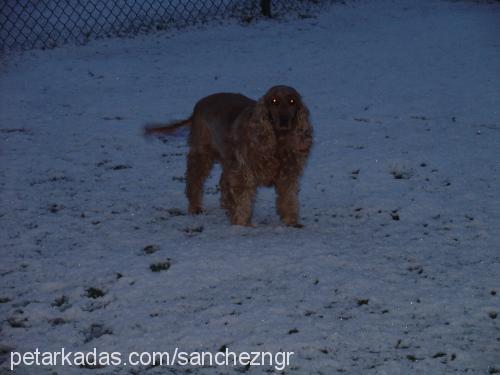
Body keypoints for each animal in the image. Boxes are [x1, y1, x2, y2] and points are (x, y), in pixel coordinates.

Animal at [143, 85, 312, 226]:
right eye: (274, 101)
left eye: (292, 101)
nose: (284, 120)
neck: (277, 142)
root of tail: (198, 105)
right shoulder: (244, 172)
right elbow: (243, 199)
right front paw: (241, 224)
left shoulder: (287, 174)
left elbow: (288, 199)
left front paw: (291, 222)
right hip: (202, 153)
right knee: (194, 181)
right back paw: (195, 207)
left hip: (227, 157)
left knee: (223, 181)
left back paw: (225, 205)